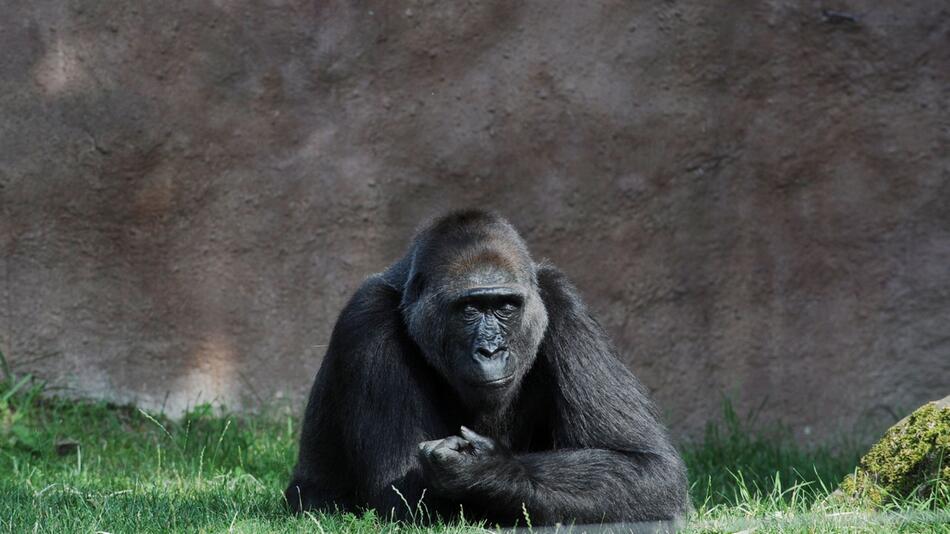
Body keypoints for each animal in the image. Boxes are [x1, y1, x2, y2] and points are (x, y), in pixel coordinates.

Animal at [286, 210, 688, 528]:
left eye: (505, 306)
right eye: (470, 309)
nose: (491, 350)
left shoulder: (562, 301)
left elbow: (647, 467)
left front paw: (489, 472)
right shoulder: (368, 319)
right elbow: (408, 496)